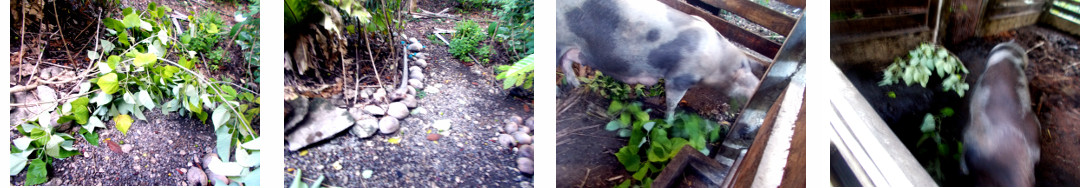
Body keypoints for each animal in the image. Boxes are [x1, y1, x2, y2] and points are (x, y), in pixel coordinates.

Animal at [557, 0, 760, 122]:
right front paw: (670, 120)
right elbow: (672, 102)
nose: (756, 87)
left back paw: (575, 84)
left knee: (566, 61)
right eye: (742, 80)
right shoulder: (678, 78)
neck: (717, 64)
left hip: (575, 49)